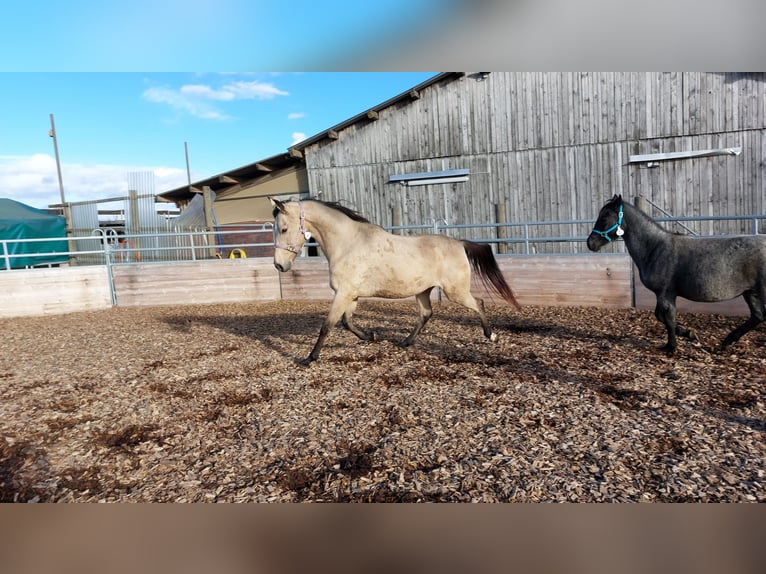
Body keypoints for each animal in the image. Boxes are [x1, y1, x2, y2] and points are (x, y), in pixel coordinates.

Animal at [270, 198, 520, 364]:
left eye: (283, 228)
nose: (279, 265)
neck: (348, 243)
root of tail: (460, 243)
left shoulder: (343, 293)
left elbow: (327, 326)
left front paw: (309, 358)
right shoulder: (351, 295)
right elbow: (347, 322)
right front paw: (370, 336)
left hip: (455, 292)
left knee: (478, 303)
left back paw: (491, 335)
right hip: (423, 290)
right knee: (426, 314)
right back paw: (405, 342)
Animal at [587, 194, 766, 354]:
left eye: (605, 217)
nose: (590, 243)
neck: (655, 248)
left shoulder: (665, 294)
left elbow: (668, 318)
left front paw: (672, 347)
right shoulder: (663, 294)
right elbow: (661, 316)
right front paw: (689, 334)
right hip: (750, 292)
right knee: (757, 316)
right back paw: (727, 341)